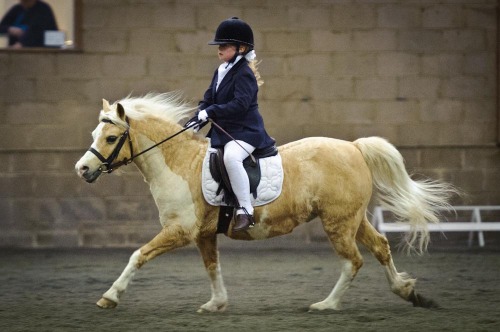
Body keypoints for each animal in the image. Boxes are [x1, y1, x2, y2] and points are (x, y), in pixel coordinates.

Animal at [75, 92, 458, 312]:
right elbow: (212, 268)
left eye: (111, 137)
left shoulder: (179, 231)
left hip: (338, 223)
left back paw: (326, 305)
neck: (178, 163)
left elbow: (137, 255)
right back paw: (407, 291)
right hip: (353, 218)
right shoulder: (203, 234)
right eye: (96, 134)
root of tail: (353, 147)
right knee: (379, 247)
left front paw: (110, 296)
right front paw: (216, 304)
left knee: (353, 261)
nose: (82, 169)